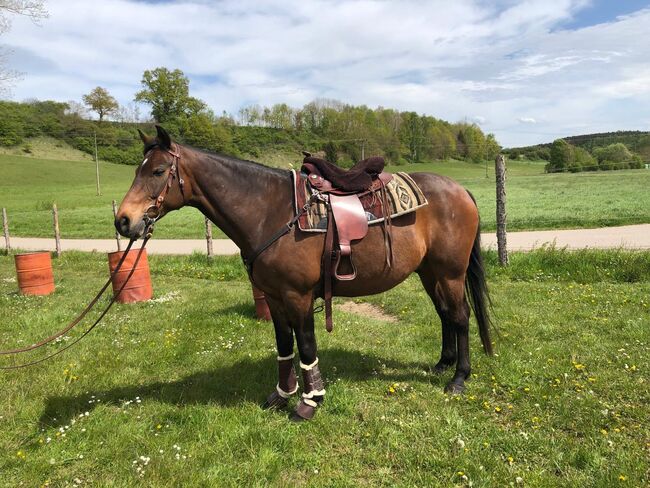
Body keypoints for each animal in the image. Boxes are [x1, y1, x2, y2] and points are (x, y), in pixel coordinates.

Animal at [116, 125, 492, 420]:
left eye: (158, 171)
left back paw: (459, 378)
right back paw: (442, 364)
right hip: (429, 272)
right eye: (137, 170)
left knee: (460, 315)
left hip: (450, 273)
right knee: (444, 313)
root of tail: (460, 190)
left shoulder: (298, 296)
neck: (270, 210)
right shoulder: (273, 297)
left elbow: (307, 346)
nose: (123, 221)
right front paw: (281, 395)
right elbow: (285, 346)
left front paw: (310, 402)